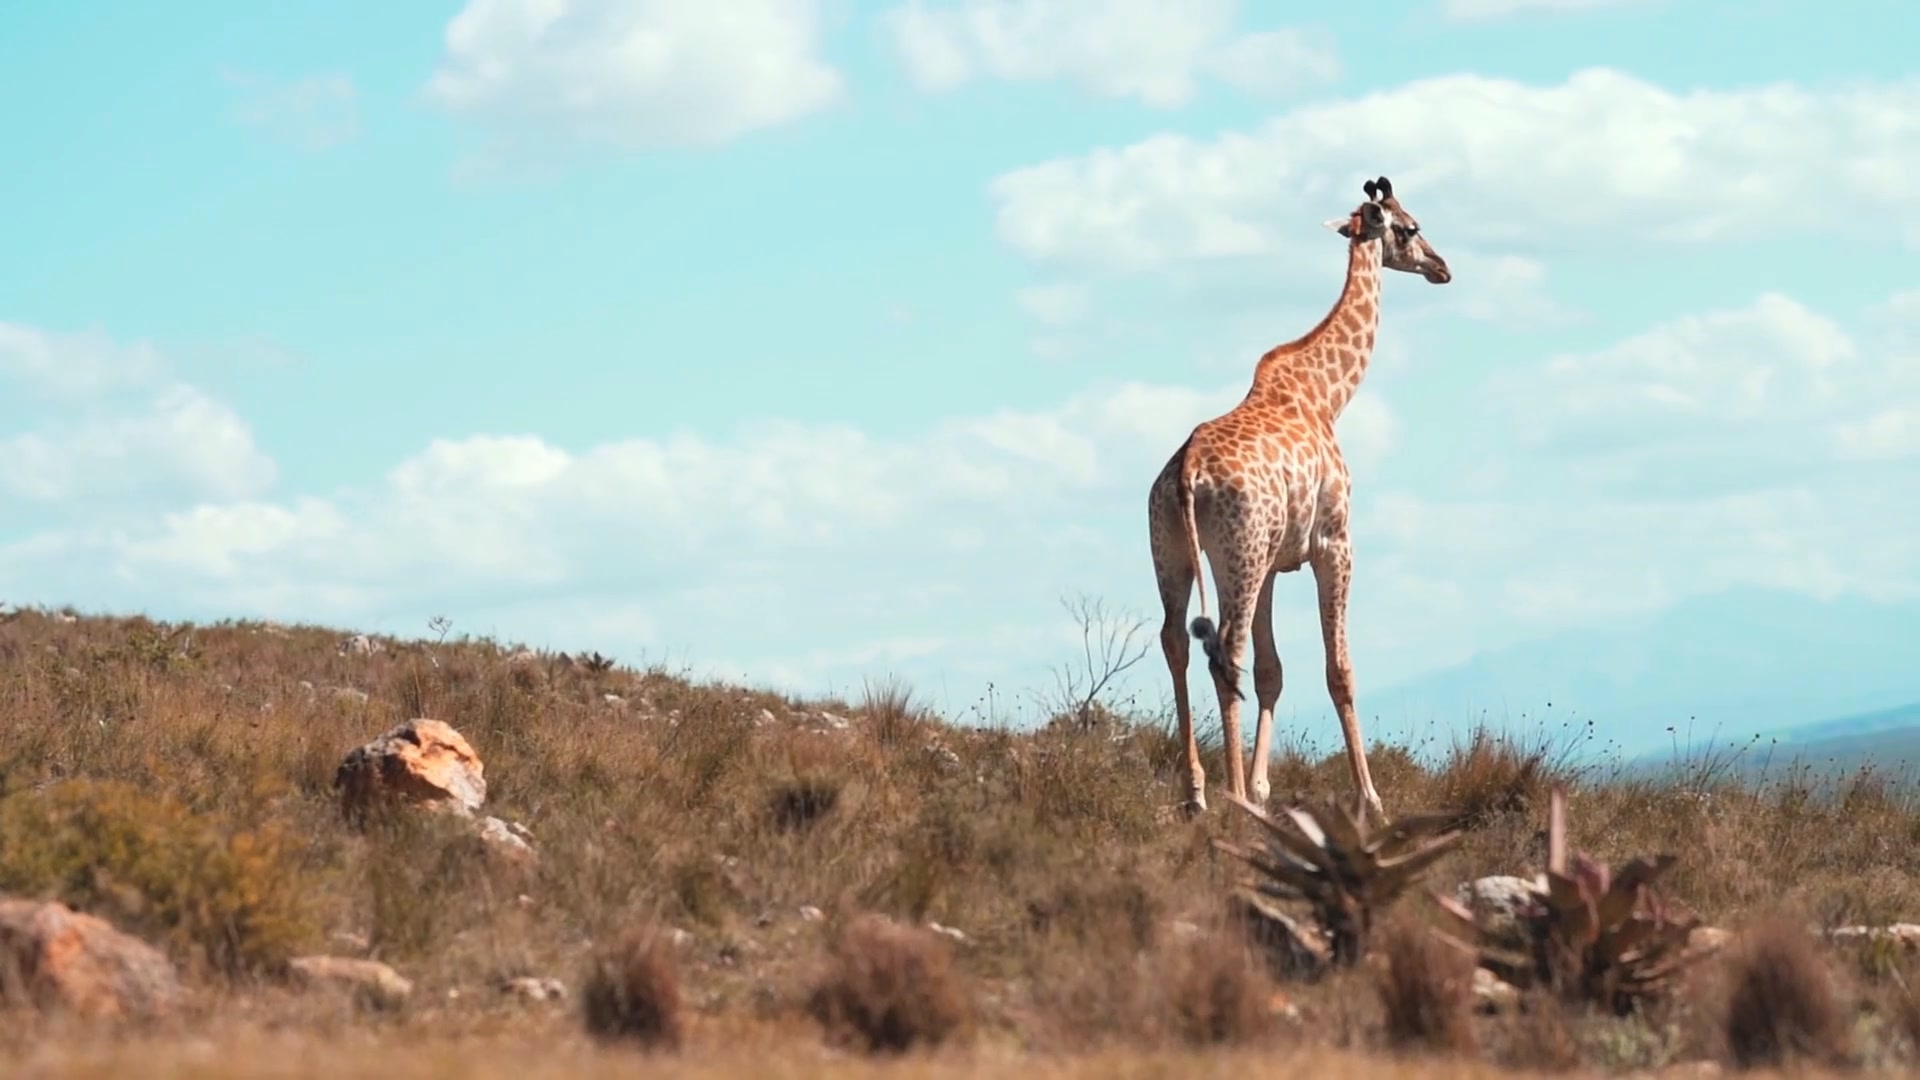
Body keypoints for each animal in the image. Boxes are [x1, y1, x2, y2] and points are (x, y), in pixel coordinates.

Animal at [1145, 175, 1451, 824]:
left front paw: (1264, 788)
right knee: (1224, 648)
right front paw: (1370, 801)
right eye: (1410, 226)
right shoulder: (1333, 543)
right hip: (1238, 553)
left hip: (1178, 552)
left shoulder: (1273, 562)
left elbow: (1273, 671)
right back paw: (1232, 796)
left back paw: (1199, 792)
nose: (1442, 267)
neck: (1327, 396)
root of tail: (1186, 473)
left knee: (1176, 639)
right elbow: (1340, 670)